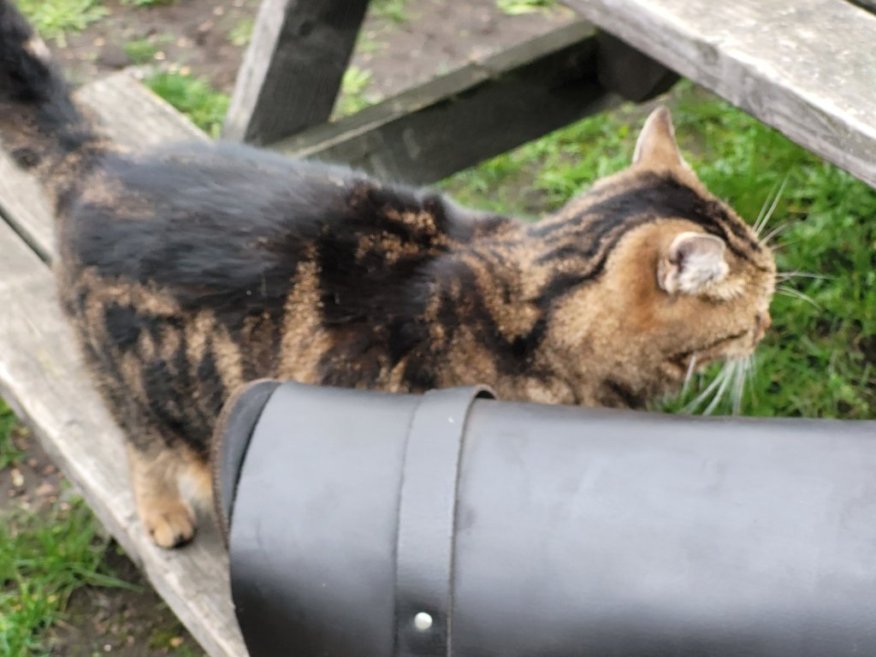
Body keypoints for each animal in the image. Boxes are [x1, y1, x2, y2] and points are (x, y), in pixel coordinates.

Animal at [0, 1, 772, 548]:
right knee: (139, 441)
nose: (768, 325)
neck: (529, 310)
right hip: (139, 381)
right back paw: (163, 512)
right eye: (757, 300)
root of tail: (97, 158)